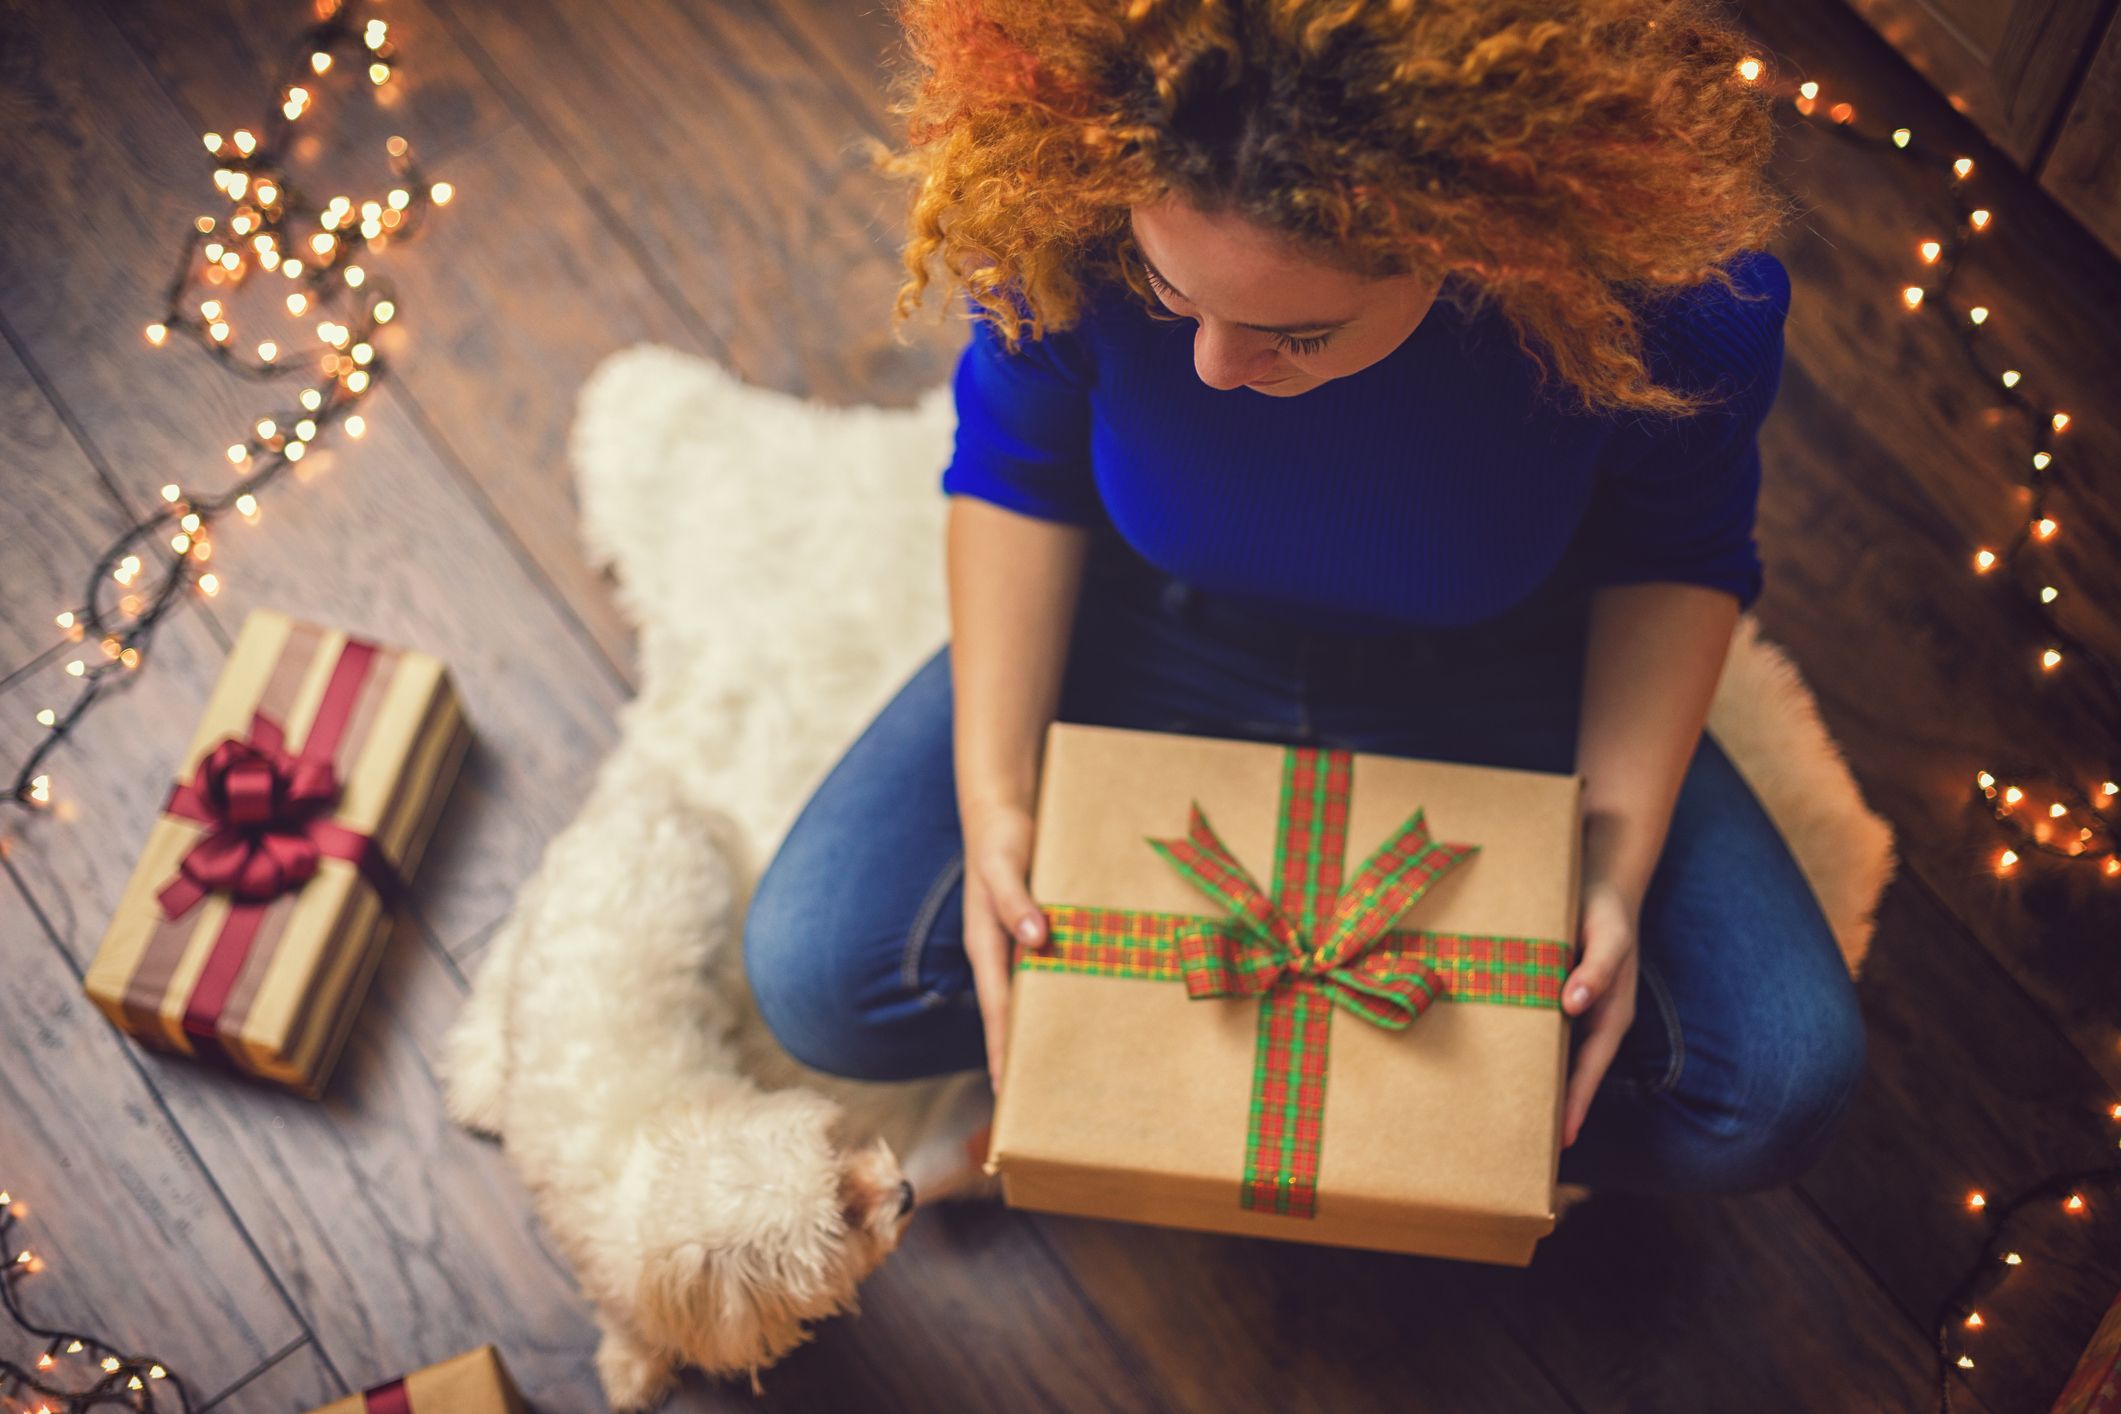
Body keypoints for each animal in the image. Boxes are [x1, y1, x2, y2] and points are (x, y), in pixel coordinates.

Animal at [439, 746, 920, 1407]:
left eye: (838, 1155)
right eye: (841, 1219)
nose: (907, 1192)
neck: (649, 1164)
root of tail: (651, 797)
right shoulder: (602, 1266)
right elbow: (627, 1322)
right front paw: (633, 1368)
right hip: (548, 906)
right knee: (502, 964)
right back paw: (482, 1081)